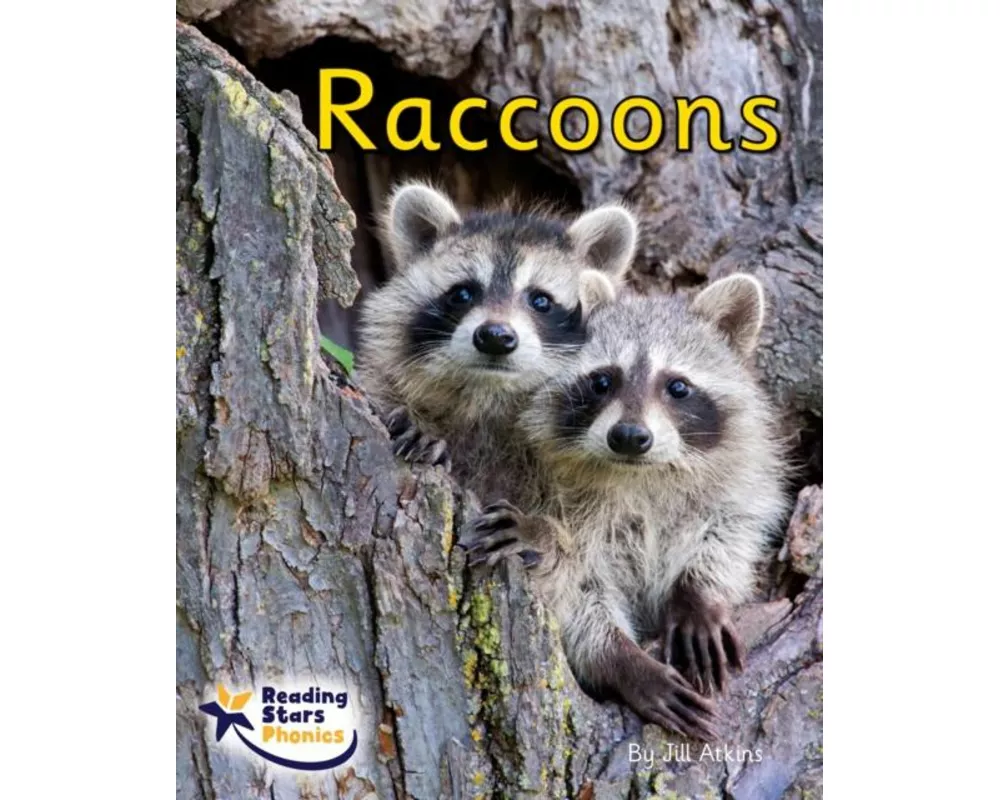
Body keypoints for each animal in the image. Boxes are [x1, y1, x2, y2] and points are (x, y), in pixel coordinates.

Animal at [460, 275, 789, 740]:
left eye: (677, 386)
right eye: (602, 382)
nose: (630, 436)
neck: (642, 475)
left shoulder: (739, 480)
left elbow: (733, 529)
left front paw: (698, 594)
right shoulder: (540, 484)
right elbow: (579, 593)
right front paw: (622, 660)